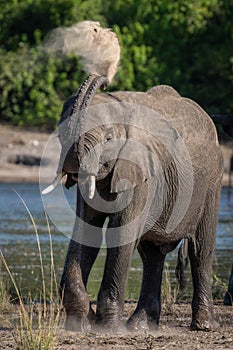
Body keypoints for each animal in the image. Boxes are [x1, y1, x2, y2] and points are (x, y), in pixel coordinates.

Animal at [41, 20, 224, 332]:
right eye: (61, 130)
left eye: (109, 138)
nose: (105, 77)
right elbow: (87, 227)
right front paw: (81, 324)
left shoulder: (142, 170)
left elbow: (122, 231)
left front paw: (106, 327)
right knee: (151, 255)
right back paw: (140, 326)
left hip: (212, 179)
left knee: (200, 250)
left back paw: (202, 326)